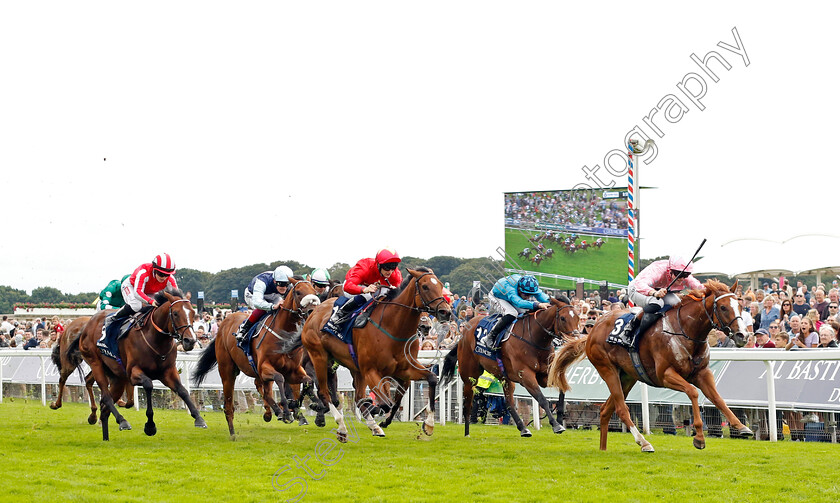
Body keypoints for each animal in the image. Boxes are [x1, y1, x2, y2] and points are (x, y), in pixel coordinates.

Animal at [69, 292, 207, 440]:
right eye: (175, 313)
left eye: (193, 313)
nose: (190, 340)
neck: (156, 340)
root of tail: (86, 326)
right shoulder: (133, 373)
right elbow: (148, 385)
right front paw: (150, 426)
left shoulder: (168, 372)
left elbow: (183, 391)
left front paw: (199, 418)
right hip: (96, 364)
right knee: (105, 396)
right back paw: (122, 421)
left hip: (117, 378)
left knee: (104, 405)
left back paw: (105, 435)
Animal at [191, 278, 322, 440]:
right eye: (298, 292)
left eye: (315, 291)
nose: (311, 311)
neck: (284, 336)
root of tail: (225, 322)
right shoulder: (265, 367)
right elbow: (279, 378)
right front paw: (287, 410)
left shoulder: (292, 371)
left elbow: (308, 381)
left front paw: (317, 407)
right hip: (228, 371)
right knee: (229, 405)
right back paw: (233, 432)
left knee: (263, 389)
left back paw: (274, 411)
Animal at [298, 268, 450, 440]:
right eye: (425, 286)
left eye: (440, 285)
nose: (446, 311)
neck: (393, 327)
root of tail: (314, 311)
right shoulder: (371, 371)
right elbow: (385, 403)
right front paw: (376, 411)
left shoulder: (404, 369)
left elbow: (430, 379)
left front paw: (429, 424)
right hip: (319, 357)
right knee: (324, 392)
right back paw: (342, 426)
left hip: (354, 367)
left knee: (357, 396)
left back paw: (374, 427)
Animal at [440, 298, 584, 440]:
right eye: (563, 318)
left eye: (578, 317)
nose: (575, 339)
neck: (535, 339)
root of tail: (463, 335)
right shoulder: (525, 376)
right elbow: (542, 399)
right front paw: (556, 425)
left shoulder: (545, 375)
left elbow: (562, 392)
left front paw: (560, 417)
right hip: (470, 376)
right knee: (468, 404)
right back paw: (467, 432)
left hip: (504, 377)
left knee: (509, 403)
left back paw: (523, 429)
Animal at [548, 280, 752, 452]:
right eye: (723, 307)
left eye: (741, 306)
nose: (743, 335)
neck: (685, 330)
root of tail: (592, 331)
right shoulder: (665, 375)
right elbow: (693, 392)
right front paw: (699, 438)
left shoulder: (702, 373)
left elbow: (717, 398)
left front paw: (741, 427)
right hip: (607, 369)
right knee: (621, 409)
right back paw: (643, 442)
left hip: (627, 377)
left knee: (606, 410)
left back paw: (603, 449)